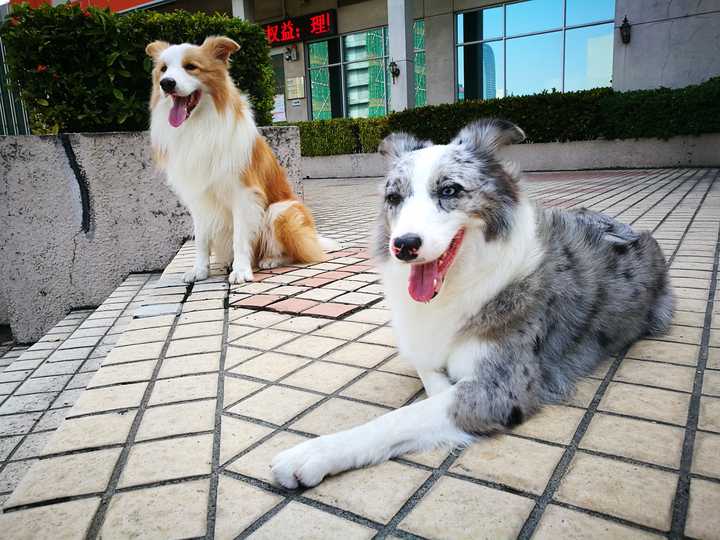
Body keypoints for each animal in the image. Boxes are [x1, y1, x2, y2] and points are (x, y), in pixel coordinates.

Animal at [147, 36, 340, 282]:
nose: (166, 83)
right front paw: (199, 270)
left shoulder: (243, 195)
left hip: (281, 211)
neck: (199, 126)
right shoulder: (199, 200)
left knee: (297, 251)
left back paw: (270, 260)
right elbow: (201, 239)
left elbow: (240, 237)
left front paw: (241, 270)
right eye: (163, 69)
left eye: (190, 66)